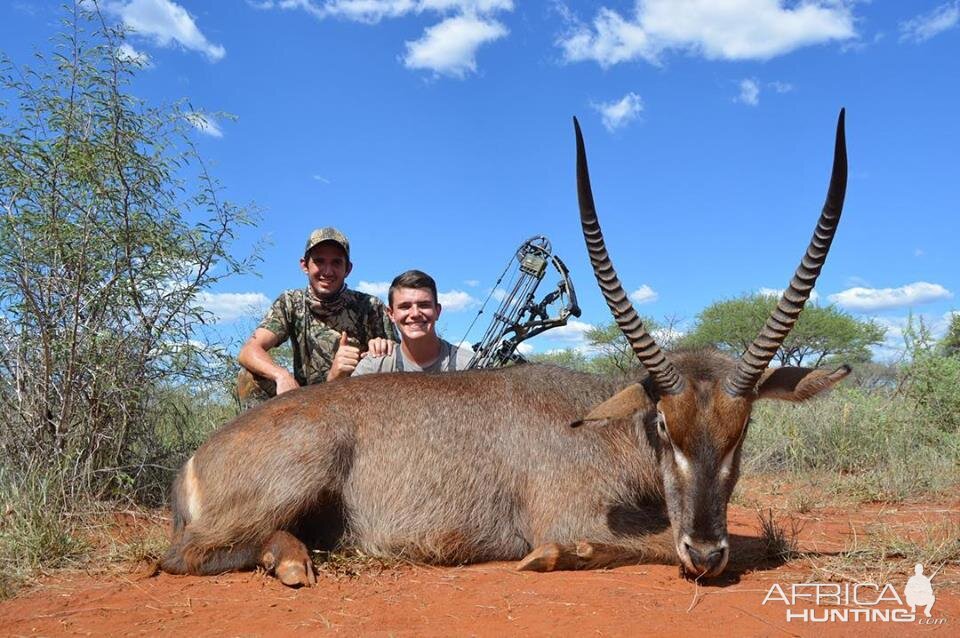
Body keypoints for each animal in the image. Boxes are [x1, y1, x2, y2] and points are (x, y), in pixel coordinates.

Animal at [161, 109, 852, 584]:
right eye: (663, 423)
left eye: (744, 426)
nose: (706, 552)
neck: (606, 429)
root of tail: (194, 459)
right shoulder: (570, 512)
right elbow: (681, 542)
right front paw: (554, 555)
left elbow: (754, 537)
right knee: (181, 556)